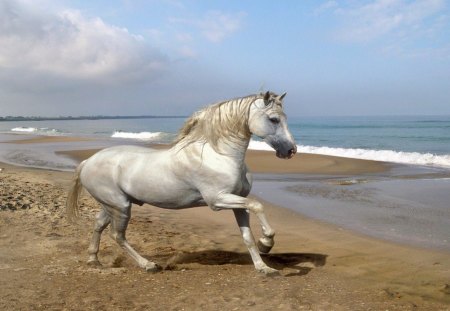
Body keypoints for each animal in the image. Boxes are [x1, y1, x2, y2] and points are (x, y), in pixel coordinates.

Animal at [67, 91, 298, 276]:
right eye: (274, 119)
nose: (290, 150)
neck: (218, 154)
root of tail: (87, 162)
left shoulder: (238, 202)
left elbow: (247, 236)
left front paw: (264, 267)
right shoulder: (217, 200)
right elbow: (258, 205)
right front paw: (266, 244)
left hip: (113, 205)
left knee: (98, 225)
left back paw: (94, 260)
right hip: (121, 206)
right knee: (117, 235)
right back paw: (148, 265)